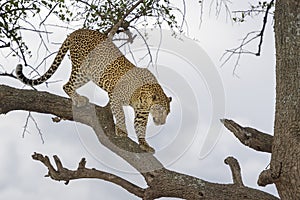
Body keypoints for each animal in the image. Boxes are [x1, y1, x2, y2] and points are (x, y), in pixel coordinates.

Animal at [15, 28, 171, 153]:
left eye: (167, 113)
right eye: (161, 110)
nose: (163, 123)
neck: (145, 100)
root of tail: (78, 30)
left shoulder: (141, 113)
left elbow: (140, 127)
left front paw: (144, 144)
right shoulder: (115, 96)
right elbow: (120, 114)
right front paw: (121, 130)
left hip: (88, 74)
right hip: (81, 67)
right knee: (67, 85)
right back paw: (78, 99)